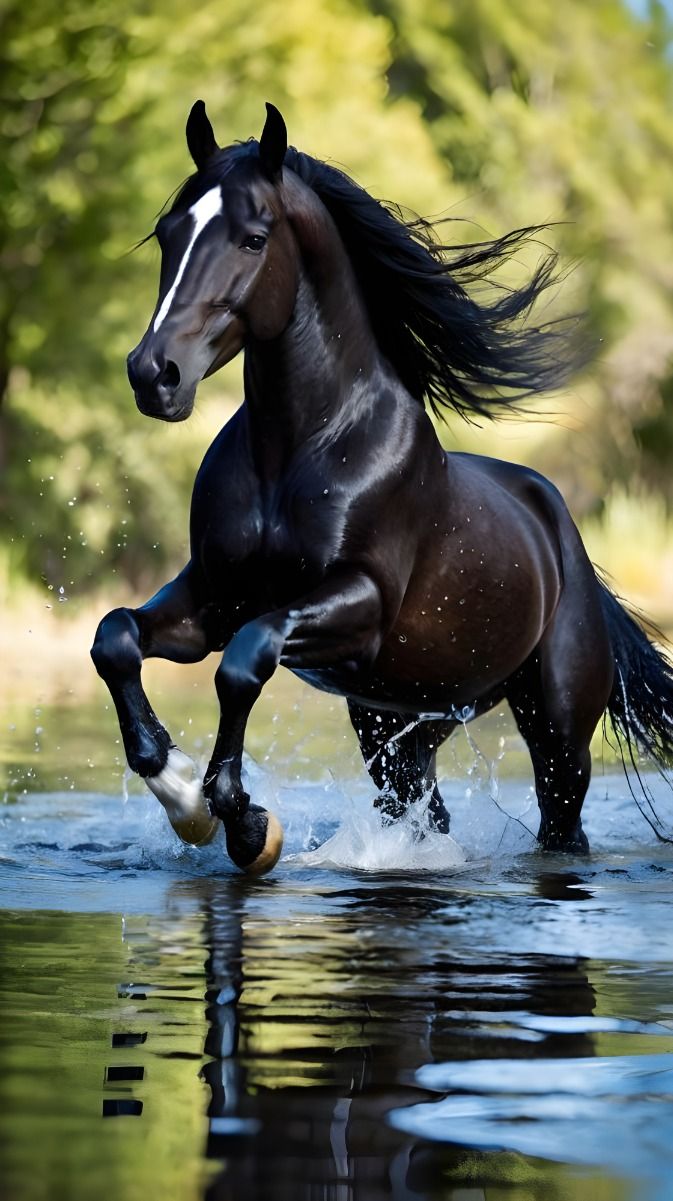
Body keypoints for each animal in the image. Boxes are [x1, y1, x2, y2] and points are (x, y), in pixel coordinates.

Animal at [92, 101, 673, 875]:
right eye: (167, 233)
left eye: (253, 238)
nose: (154, 374)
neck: (298, 453)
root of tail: (562, 536)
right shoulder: (212, 599)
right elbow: (116, 637)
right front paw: (183, 792)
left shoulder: (355, 604)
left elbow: (244, 663)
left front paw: (243, 823)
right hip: (397, 722)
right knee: (422, 806)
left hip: (555, 734)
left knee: (559, 821)